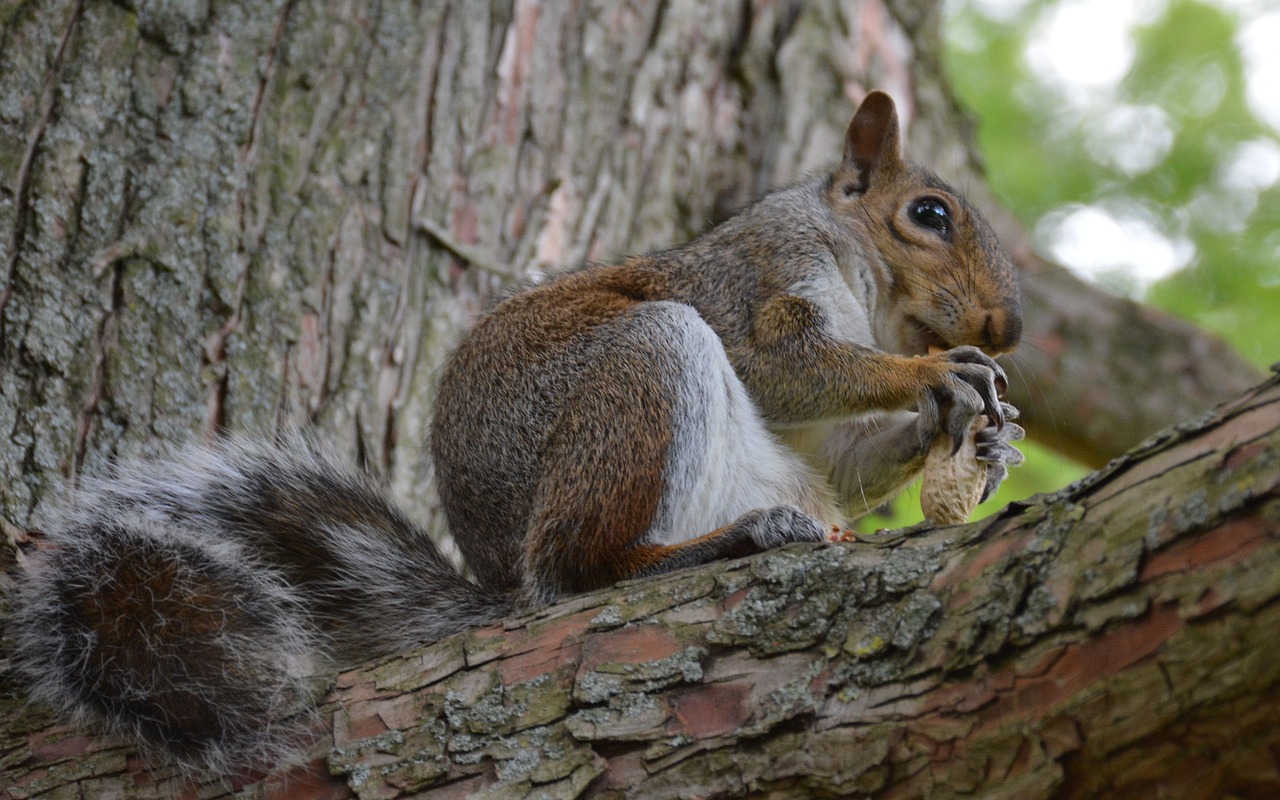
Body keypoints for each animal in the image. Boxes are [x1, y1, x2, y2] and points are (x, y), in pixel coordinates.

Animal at [10, 92, 1024, 773]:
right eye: (929, 215)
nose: (1006, 327)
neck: (863, 285)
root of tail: (499, 583)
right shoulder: (755, 284)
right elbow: (782, 365)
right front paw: (934, 377)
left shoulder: (813, 444)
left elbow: (844, 461)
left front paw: (981, 441)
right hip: (644, 367)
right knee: (579, 570)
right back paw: (726, 543)